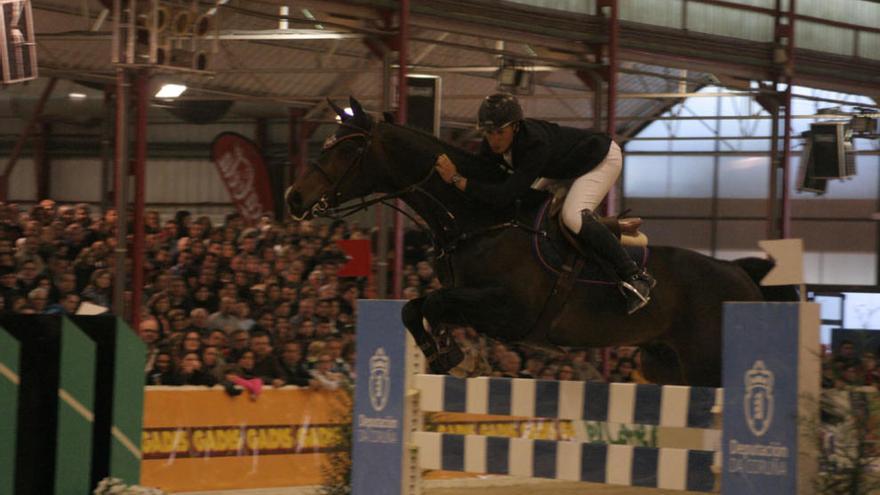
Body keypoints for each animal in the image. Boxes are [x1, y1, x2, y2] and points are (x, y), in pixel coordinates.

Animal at [286, 98, 788, 388]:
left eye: (347, 149)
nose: (293, 198)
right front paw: (447, 354)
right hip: (666, 365)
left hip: (707, 365)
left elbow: (433, 303)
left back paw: (637, 286)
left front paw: (455, 356)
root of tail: (742, 276)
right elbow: (416, 307)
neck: (480, 221)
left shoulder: (507, 309)